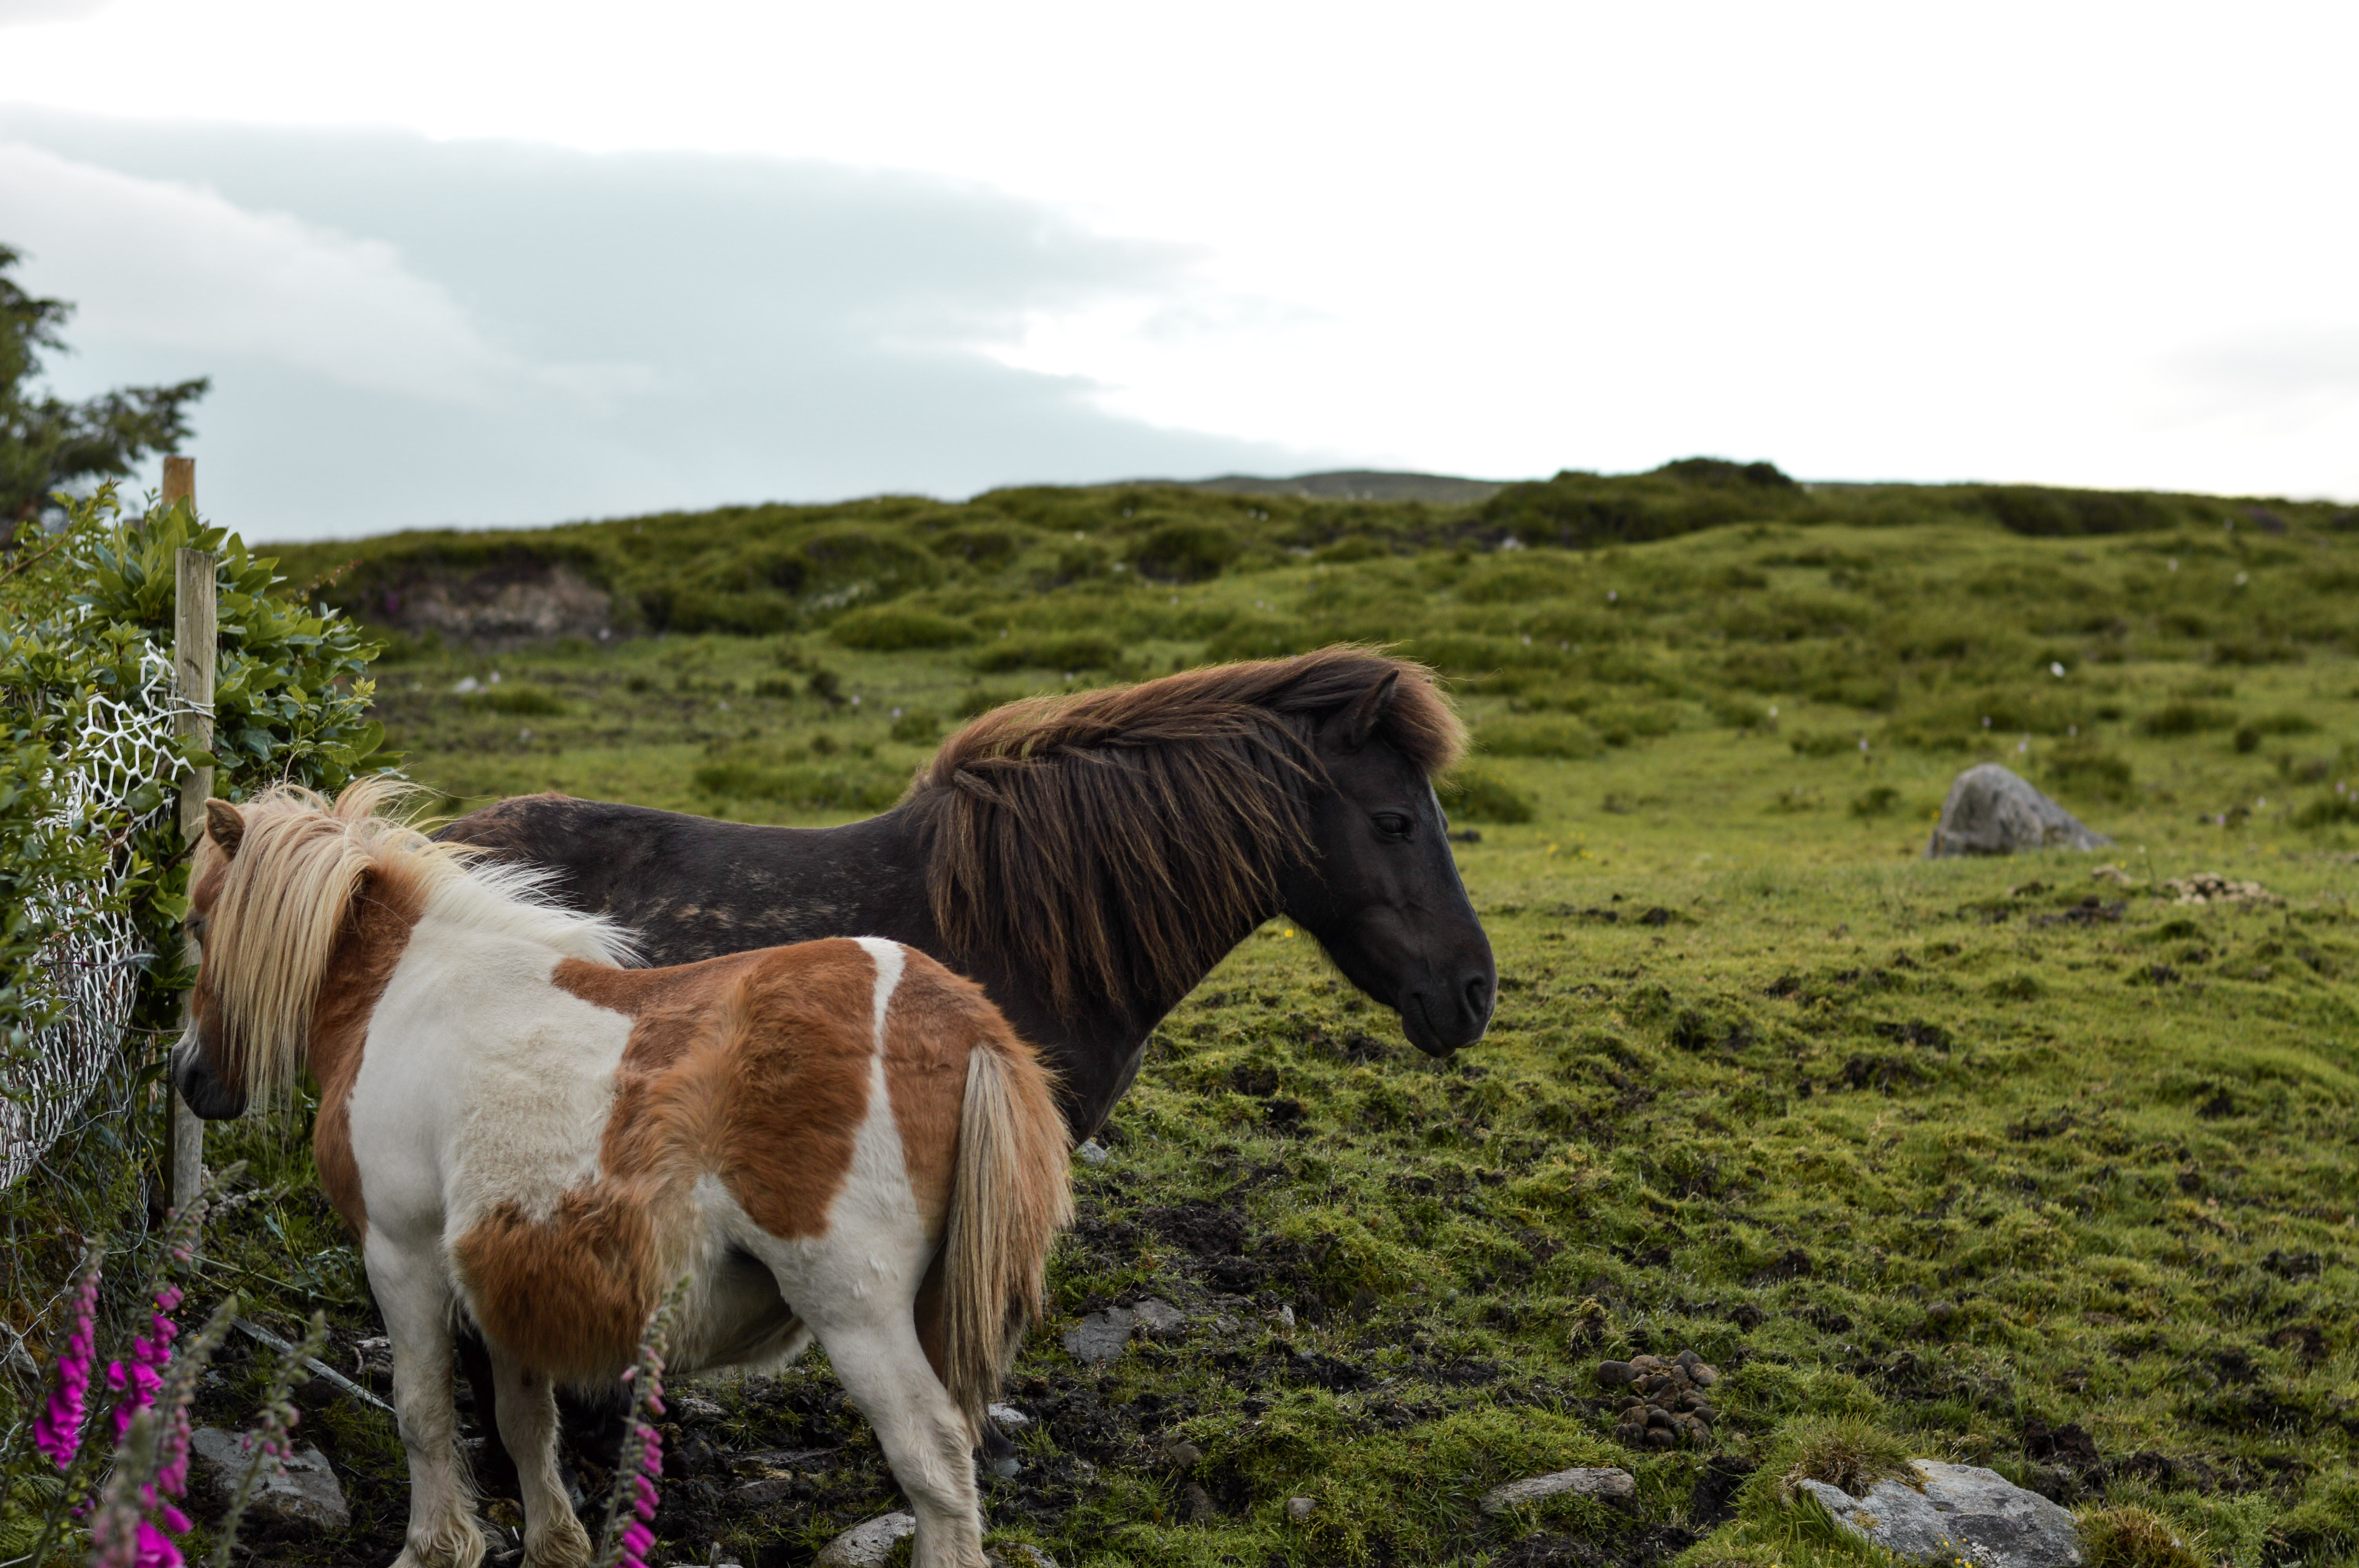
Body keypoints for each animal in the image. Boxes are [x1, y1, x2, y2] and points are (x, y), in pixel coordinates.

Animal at [171, 780, 1072, 1568]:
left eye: (198, 923)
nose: (188, 1078)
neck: (400, 991)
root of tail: (963, 1020)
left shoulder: (403, 1255)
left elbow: (422, 1412)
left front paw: (433, 1548)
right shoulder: (505, 1275)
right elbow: (524, 1422)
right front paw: (555, 1543)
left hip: (859, 1314)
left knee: (936, 1465)